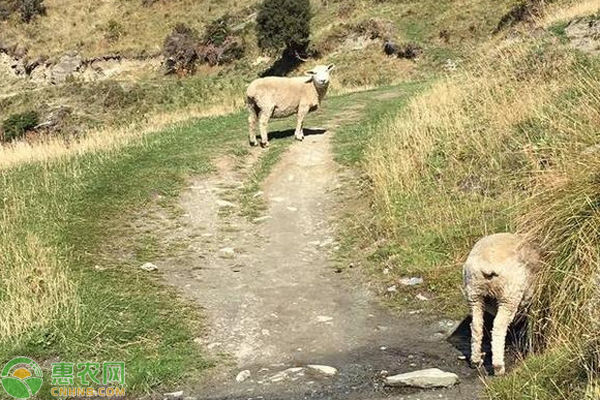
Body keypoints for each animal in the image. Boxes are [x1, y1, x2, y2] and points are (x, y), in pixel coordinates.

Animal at [462, 231, 540, 376]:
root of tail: (487, 265)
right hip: (509, 296)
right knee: (498, 327)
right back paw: (498, 367)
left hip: (474, 292)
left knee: (476, 325)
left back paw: (475, 360)